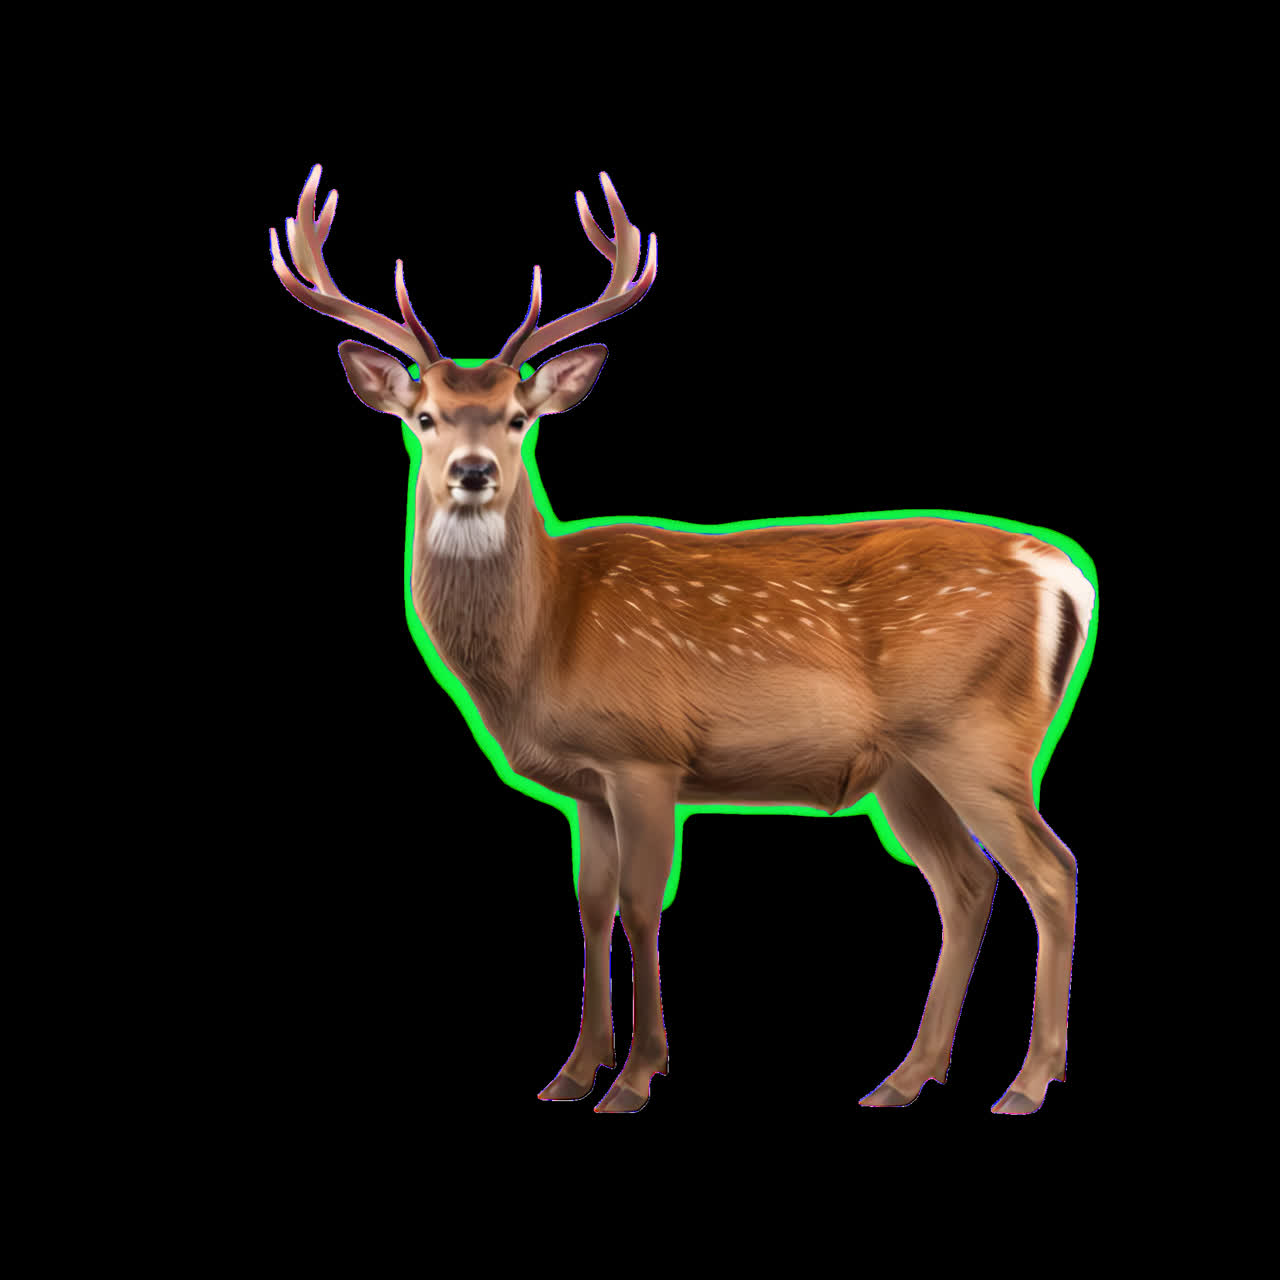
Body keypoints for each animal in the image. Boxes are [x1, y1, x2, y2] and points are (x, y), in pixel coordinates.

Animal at [270, 163, 1096, 1115]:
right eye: (426, 417)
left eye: (517, 416)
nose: (472, 473)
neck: (547, 641)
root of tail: (1061, 571)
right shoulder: (585, 782)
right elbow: (591, 906)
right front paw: (571, 1072)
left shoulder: (646, 754)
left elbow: (640, 904)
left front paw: (635, 1078)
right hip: (907, 766)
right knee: (967, 883)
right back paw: (904, 1077)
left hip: (977, 733)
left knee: (1050, 871)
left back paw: (1028, 1081)